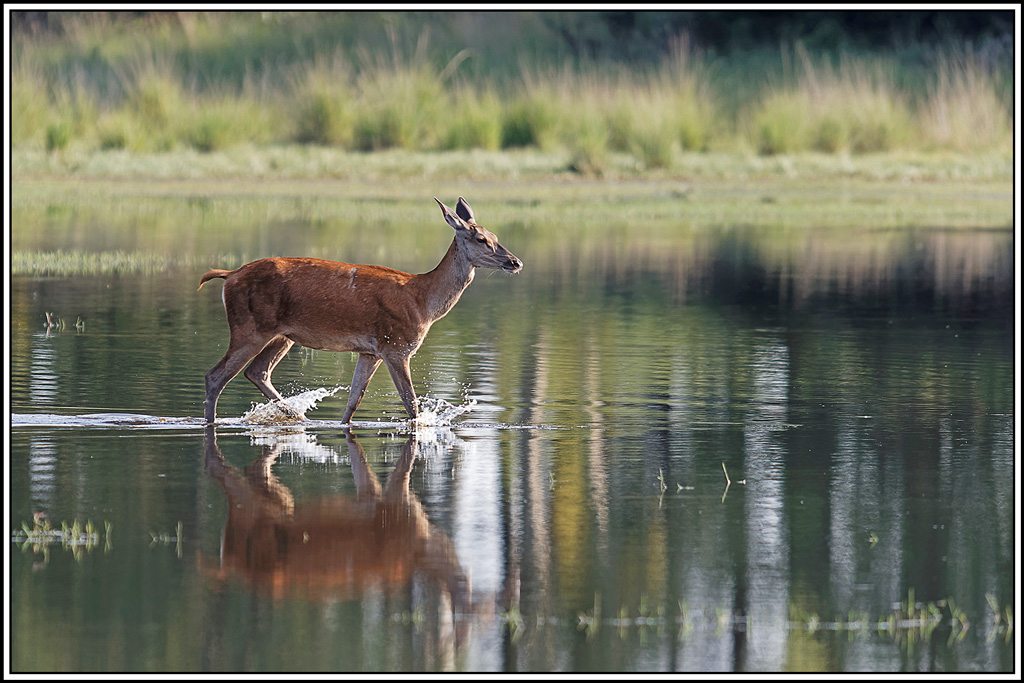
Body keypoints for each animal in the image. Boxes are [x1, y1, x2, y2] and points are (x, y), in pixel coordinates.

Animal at [198, 197, 522, 425]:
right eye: (481, 239)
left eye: (495, 235)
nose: (515, 261)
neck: (423, 302)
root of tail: (229, 275)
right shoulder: (396, 346)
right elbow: (411, 403)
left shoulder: (370, 351)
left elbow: (354, 399)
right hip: (250, 327)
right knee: (216, 376)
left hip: (283, 335)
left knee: (257, 371)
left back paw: (298, 417)